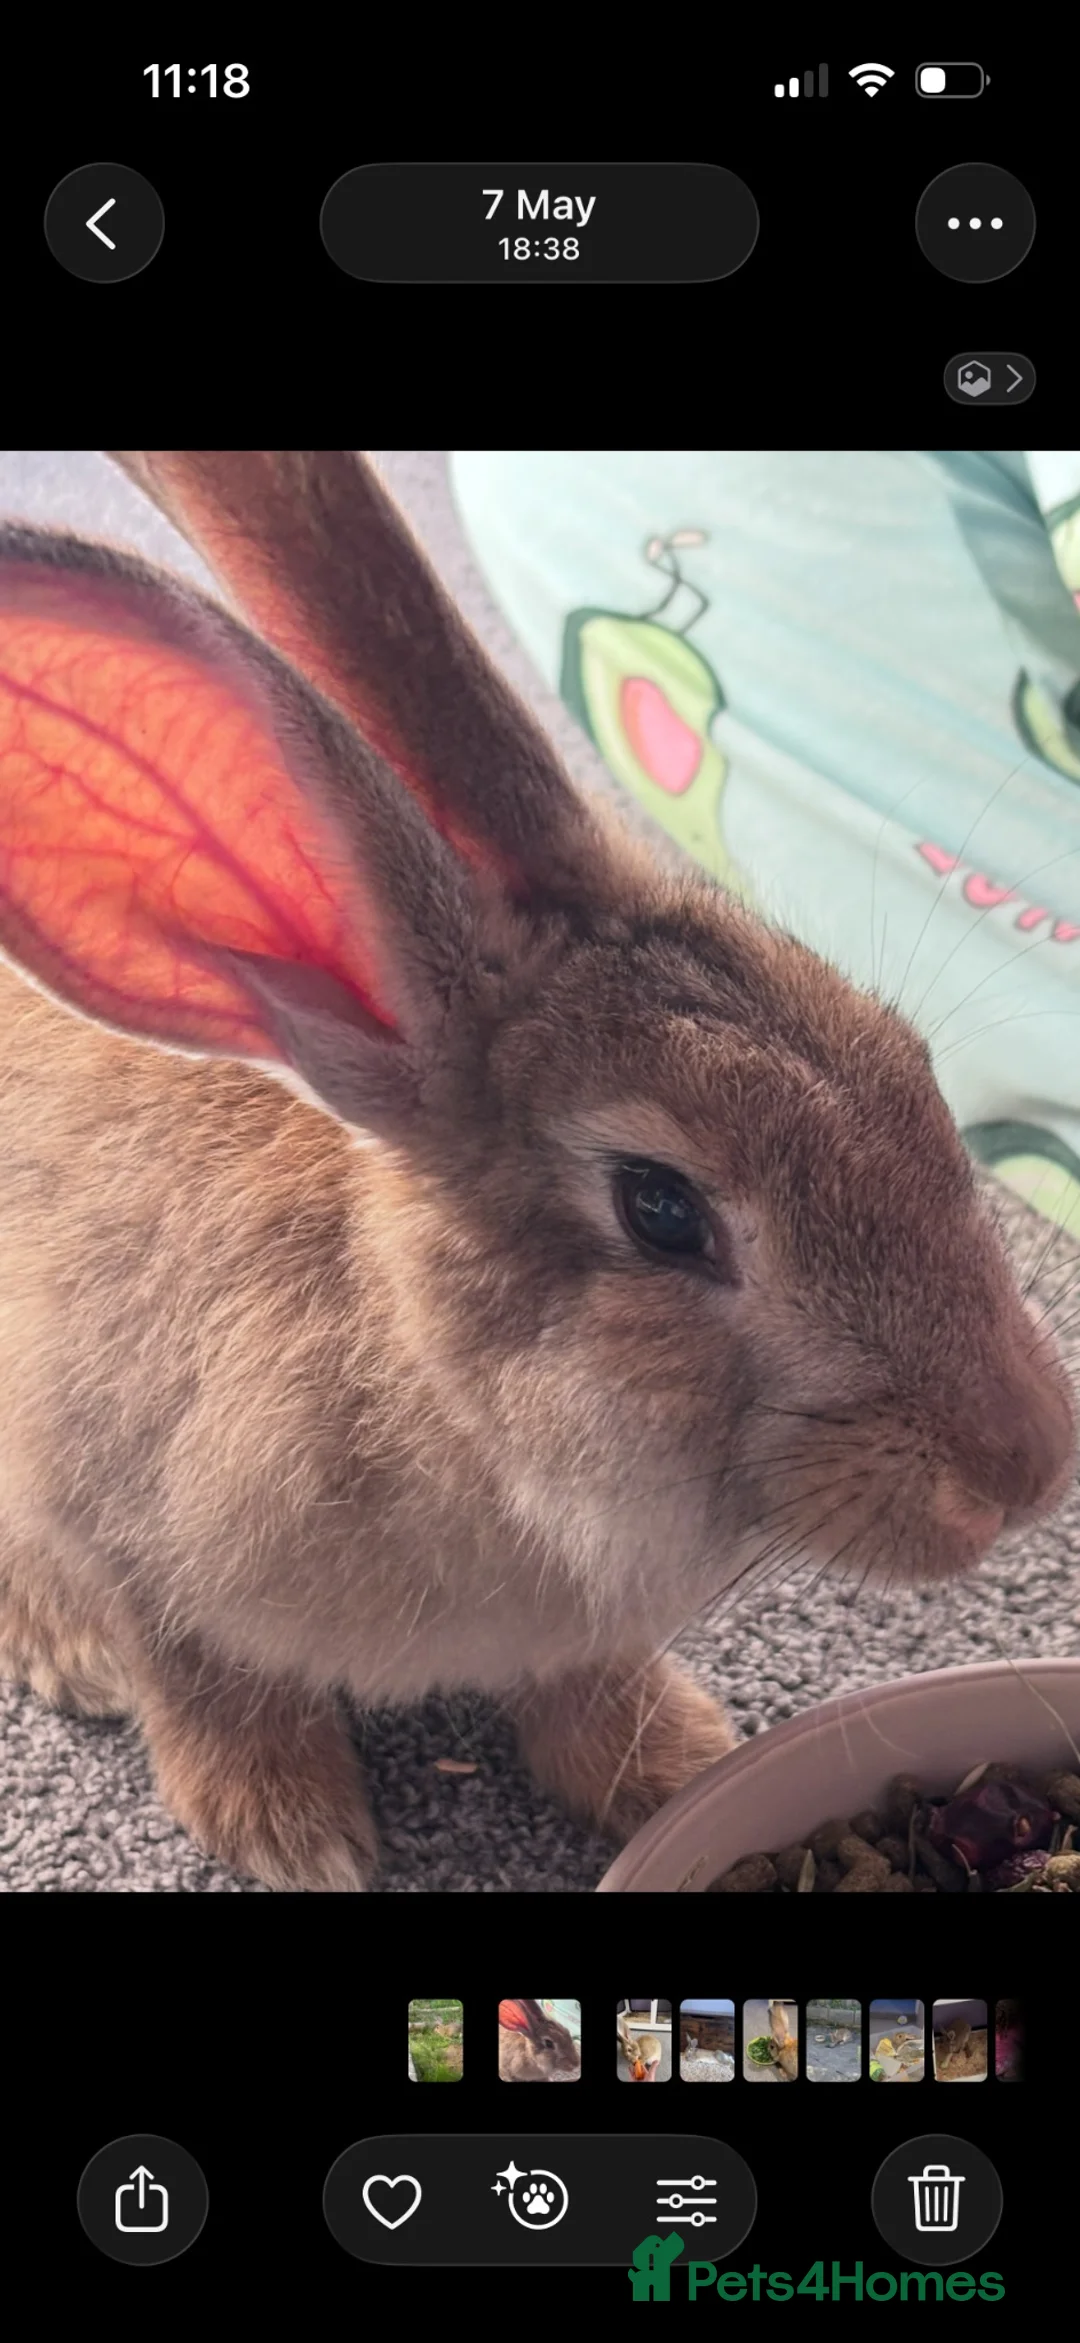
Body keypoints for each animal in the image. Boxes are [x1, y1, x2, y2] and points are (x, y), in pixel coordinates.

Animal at [0, 449, 1075, 1894]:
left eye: (914, 1066)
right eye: (662, 1209)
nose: (1030, 1469)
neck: (448, 1396)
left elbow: (585, 1692)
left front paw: (673, 1765)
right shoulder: (116, 1506)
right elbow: (200, 1672)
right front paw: (293, 1832)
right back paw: (65, 1653)